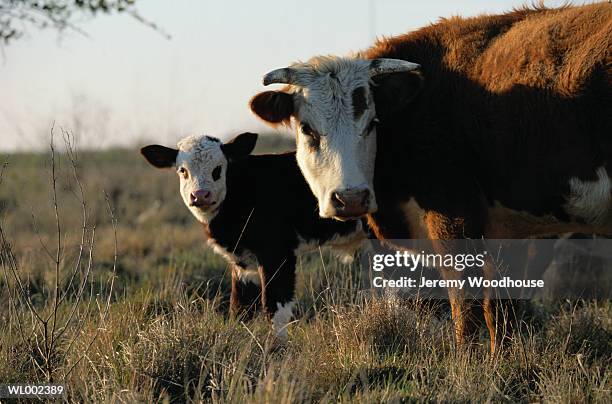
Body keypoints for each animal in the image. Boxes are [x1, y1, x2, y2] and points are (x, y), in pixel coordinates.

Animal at [141, 133, 366, 338]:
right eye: (182, 170)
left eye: (218, 168)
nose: (200, 195)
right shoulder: (242, 262)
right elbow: (240, 308)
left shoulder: (277, 253)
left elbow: (274, 307)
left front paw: (277, 348)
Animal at [250, 3, 612, 350]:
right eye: (307, 129)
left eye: (372, 123)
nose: (350, 198)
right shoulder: (513, 228)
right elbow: (502, 312)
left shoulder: (454, 215)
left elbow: (466, 306)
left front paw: (468, 364)